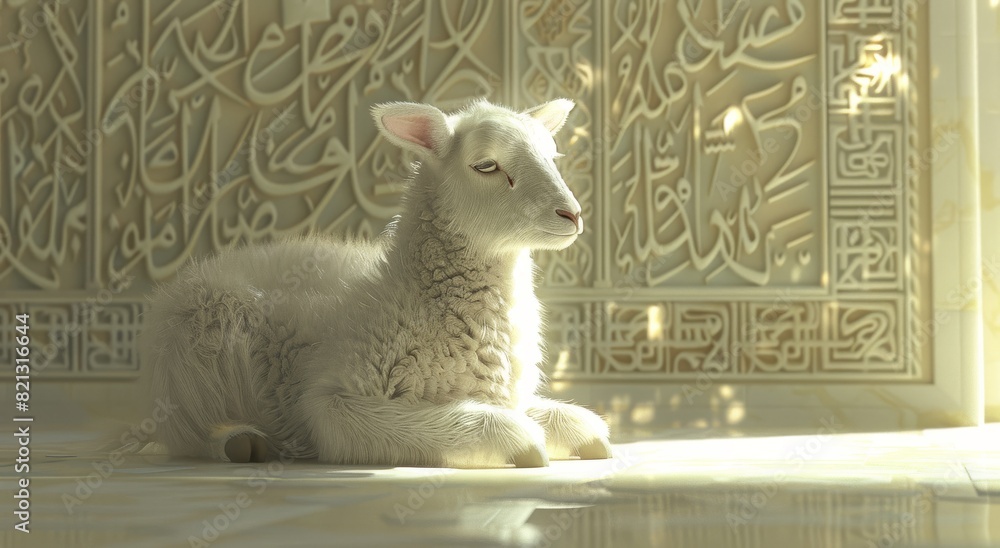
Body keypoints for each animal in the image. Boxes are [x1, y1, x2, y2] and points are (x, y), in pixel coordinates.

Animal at [138, 99, 612, 468]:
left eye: (552, 157)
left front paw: (586, 435)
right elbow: (417, 420)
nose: (572, 214)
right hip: (205, 342)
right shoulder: (335, 402)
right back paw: (241, 440)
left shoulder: (500, 393)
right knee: (186, 430)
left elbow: (556, 415)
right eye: (486, 165)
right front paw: (519, 443)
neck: (412, 297)